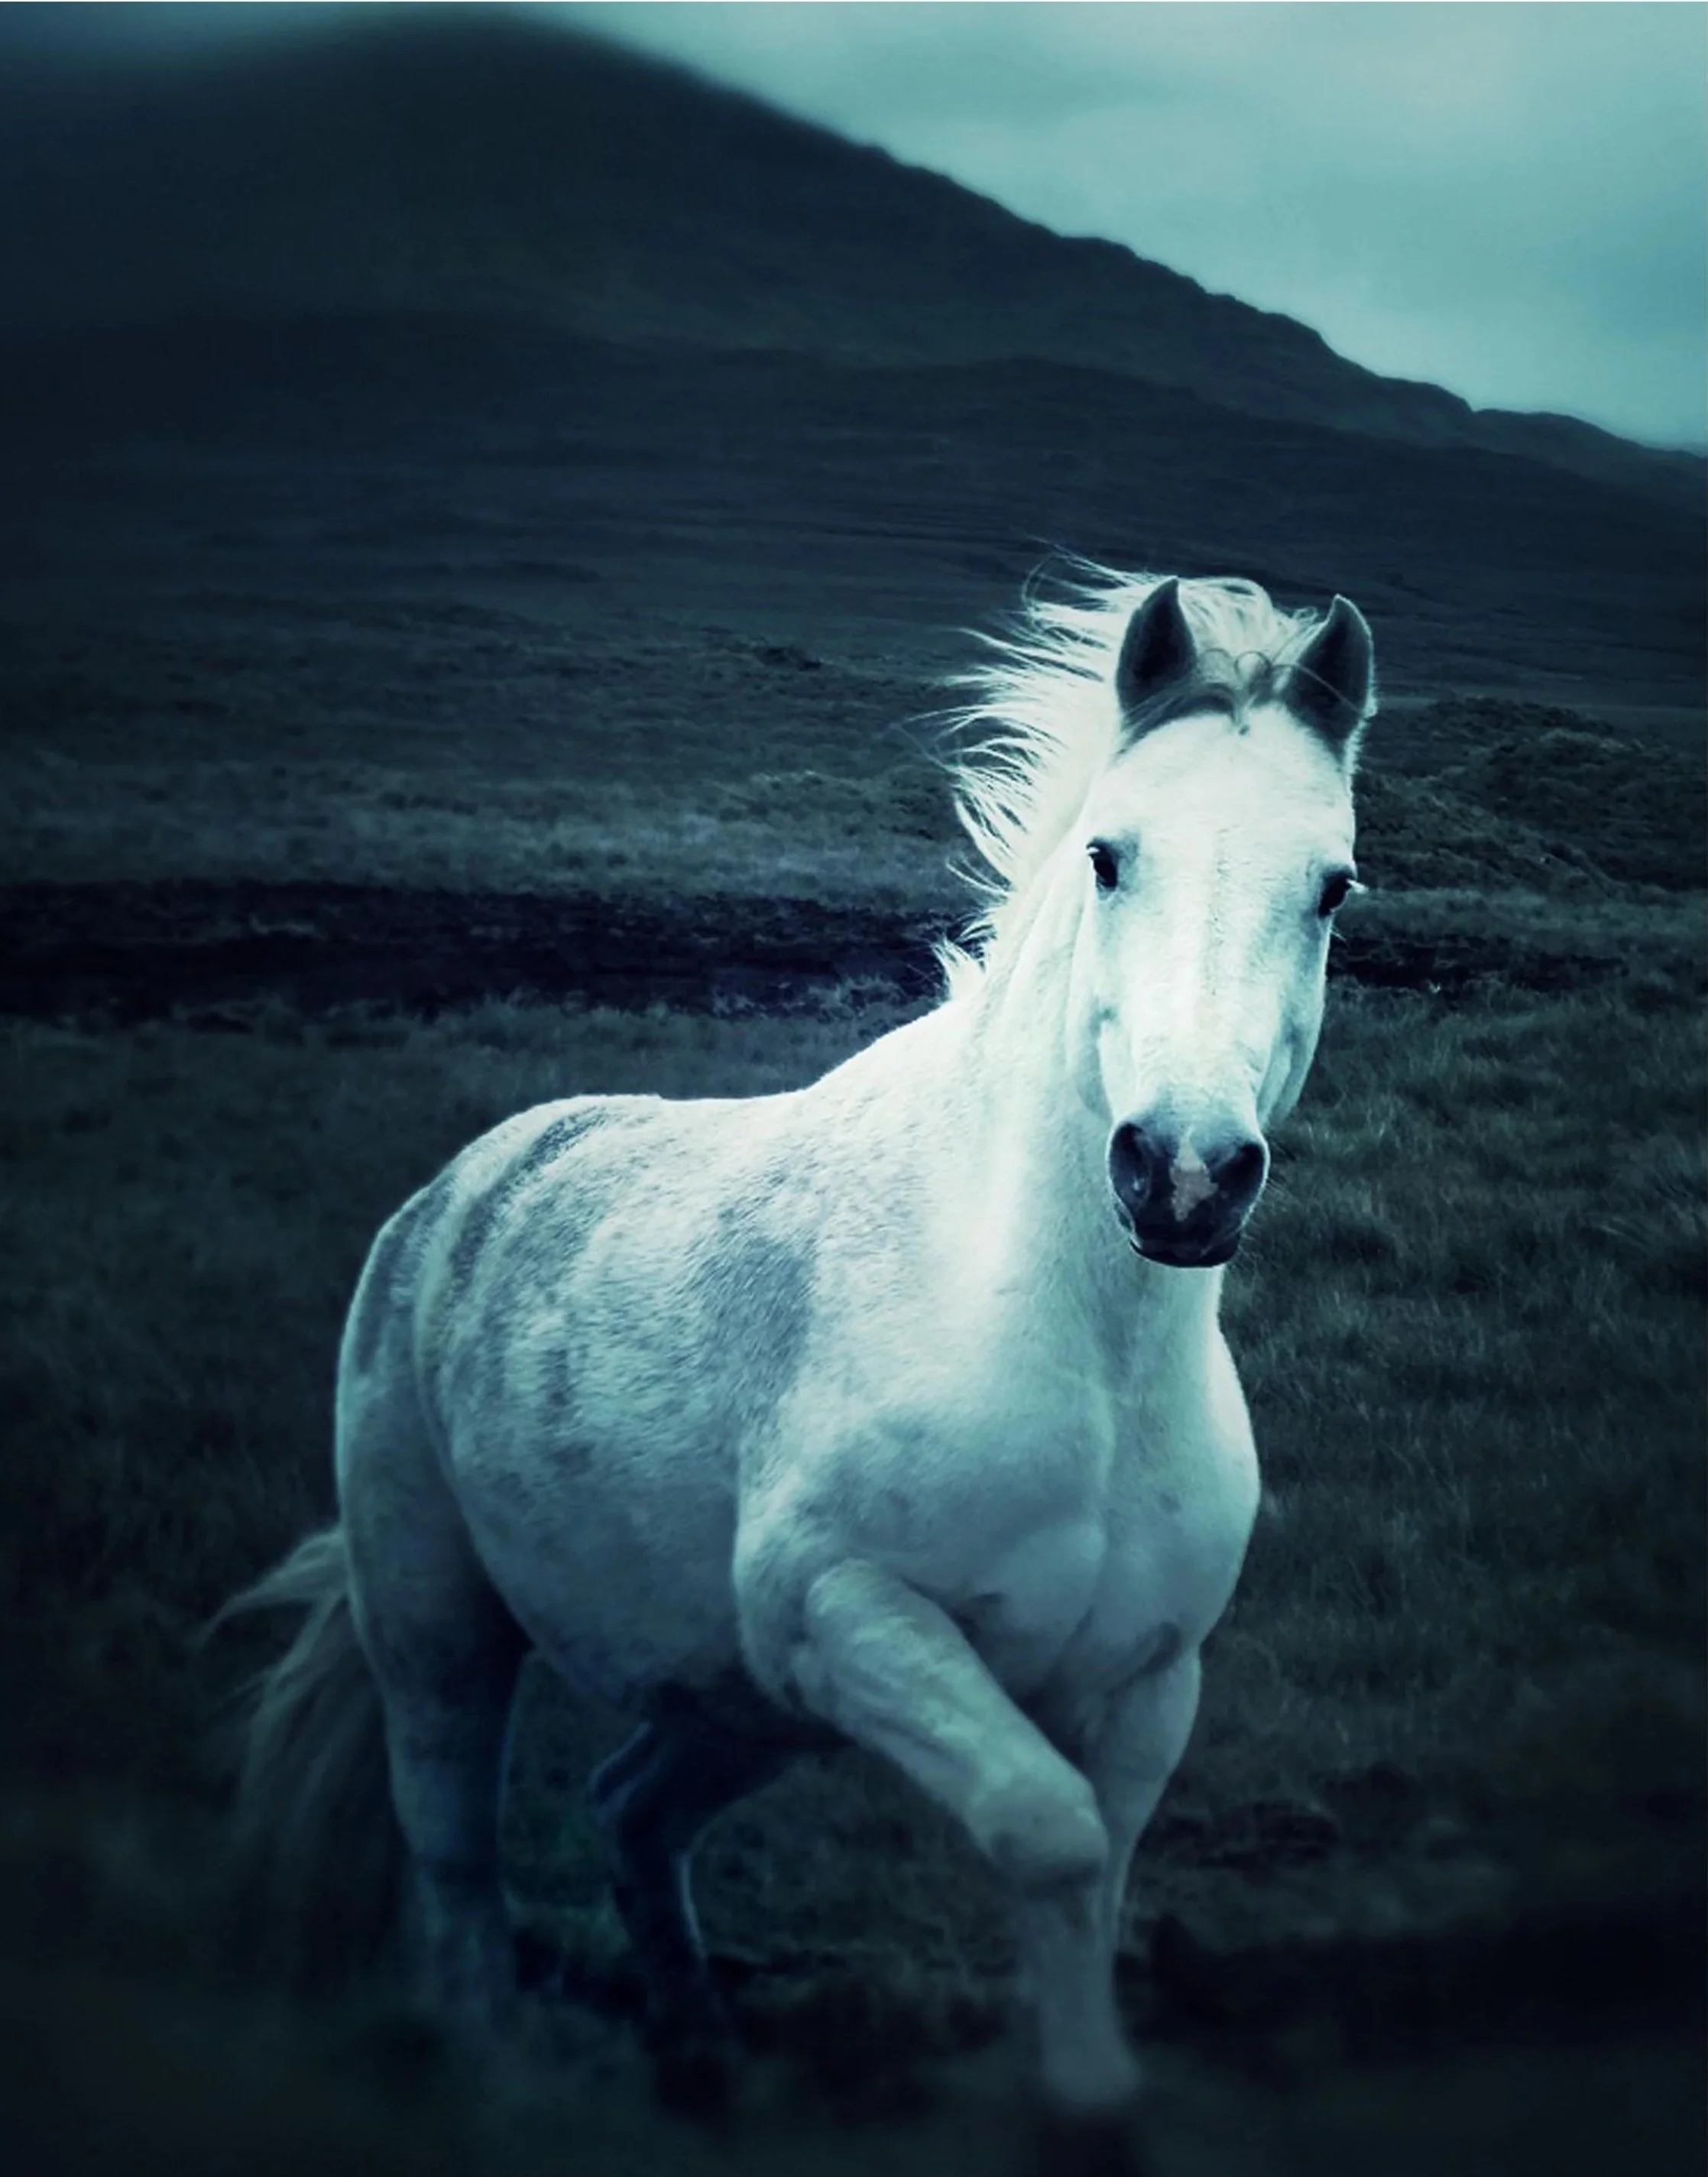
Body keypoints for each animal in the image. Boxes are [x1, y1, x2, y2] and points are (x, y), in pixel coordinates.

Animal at [225, 567, 1375, 2157]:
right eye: (1108, 855)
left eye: (1333, 886)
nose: (1185, 1173)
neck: (1069, 1341)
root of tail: (462, 1187)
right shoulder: (842, 1609)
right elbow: (1049, 1835)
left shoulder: (1145, 1681)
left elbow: (1096, 1885)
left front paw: (1092, 2092)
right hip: (441, 1631)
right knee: (457, 1875)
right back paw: (506, 2081)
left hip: (731, 1701)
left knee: (630, 1808)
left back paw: (707, 2052)